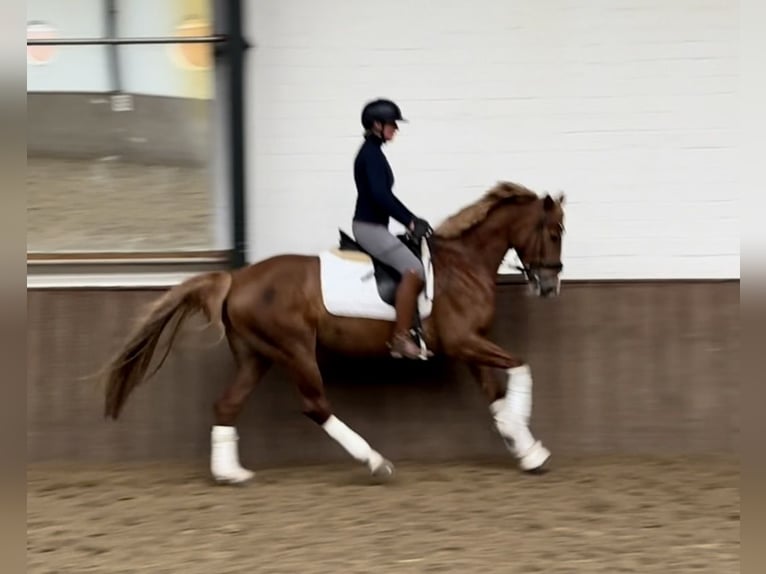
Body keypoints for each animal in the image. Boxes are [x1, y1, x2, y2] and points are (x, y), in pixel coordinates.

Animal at [101, 181, 566, 484]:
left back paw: (231, 473)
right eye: (555, 231)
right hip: (294, 348)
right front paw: (524, 433)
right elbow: (522, 368)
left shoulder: (471, 345)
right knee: (315, 405)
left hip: (257, 354)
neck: (465, 264)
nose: (550, 286)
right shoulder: (462, 341)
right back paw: (375, 462)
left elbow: (497, 396)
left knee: (227, 404)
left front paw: (525, 448)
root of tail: (237, 279)